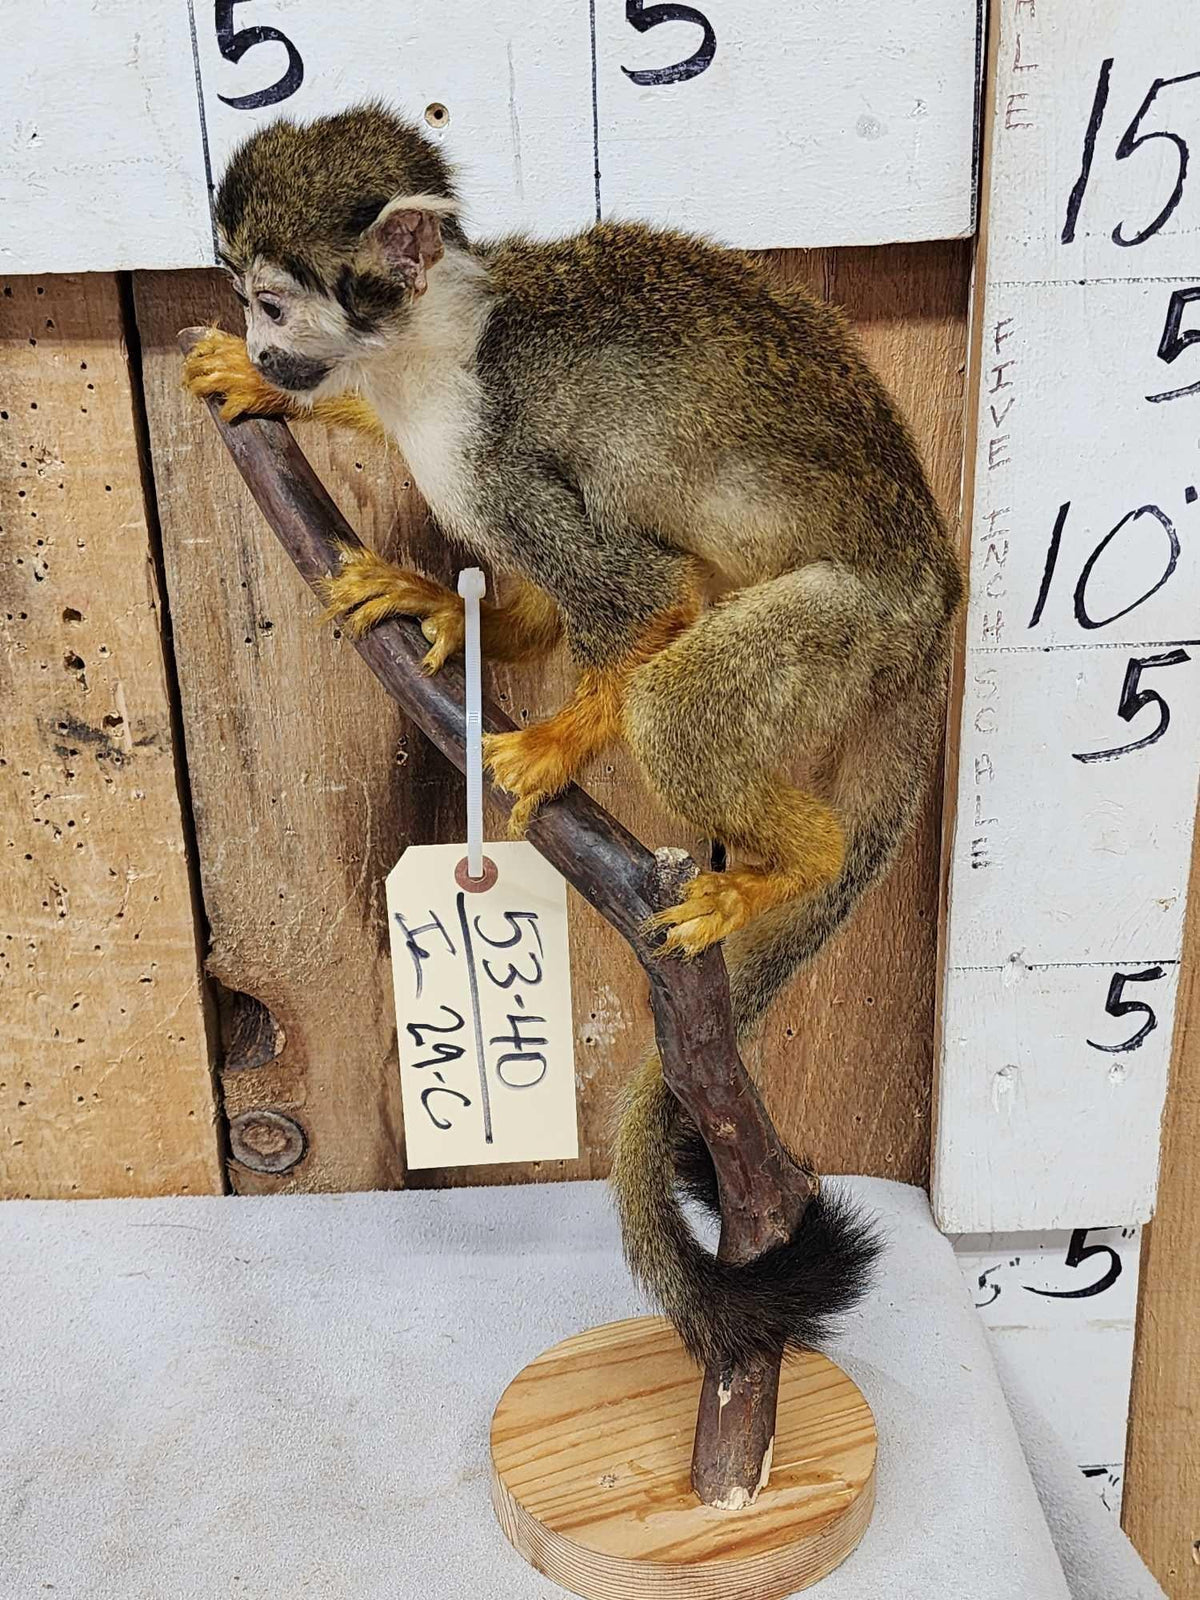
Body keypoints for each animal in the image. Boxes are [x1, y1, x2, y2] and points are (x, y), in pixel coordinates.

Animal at [183, 103, 963, 1373]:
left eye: (276, 301)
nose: (267, 348)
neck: (437, 350)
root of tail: (939, 595)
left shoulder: (488, 444)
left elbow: (645, 592)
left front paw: (557, 746)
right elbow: (558, 601)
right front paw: (440, 602)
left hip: (860, 626)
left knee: (681, 693)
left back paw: (793, 864)